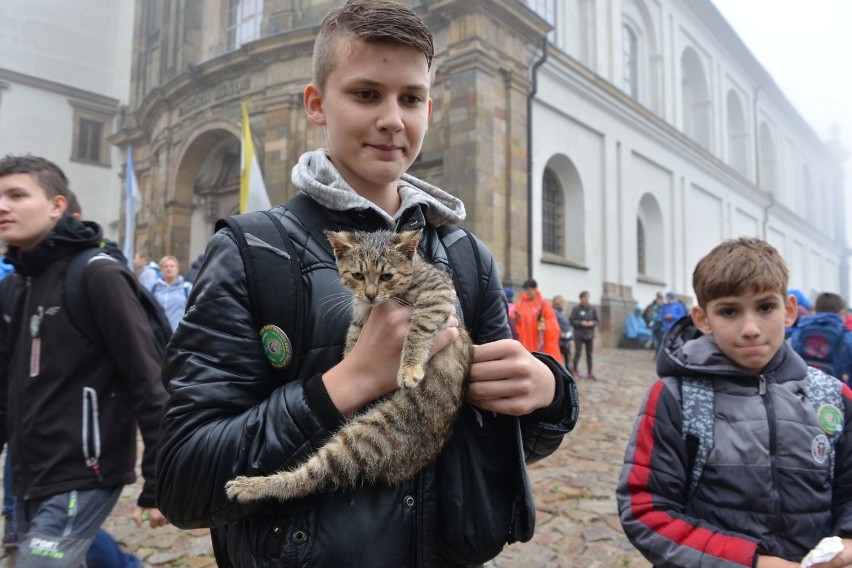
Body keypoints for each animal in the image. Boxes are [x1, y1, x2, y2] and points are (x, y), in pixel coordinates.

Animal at [225, 229, 472, 504]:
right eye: (358, 275)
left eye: (386, 276)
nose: (371, 294)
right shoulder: (360, 315)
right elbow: (353, 336)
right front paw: (349, 359)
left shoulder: (437, 294)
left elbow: (418, 327)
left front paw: (409, 368)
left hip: (367, 436)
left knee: (309, 478)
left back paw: (253, 486)